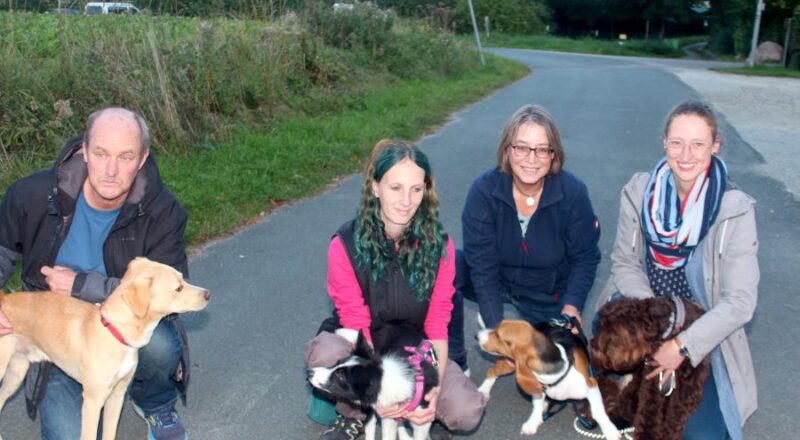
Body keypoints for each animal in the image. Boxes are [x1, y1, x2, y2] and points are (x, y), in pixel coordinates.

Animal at [0, 258, 209, 440]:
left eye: (183, 278)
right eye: (178, 288)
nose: (208, 294)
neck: (115, 332)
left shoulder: (117, 395)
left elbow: (110, 432)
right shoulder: (93, 401)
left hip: (16, 373)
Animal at [476, 318, 620, 438]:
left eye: (498, 335)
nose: (476, 336)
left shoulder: (591, 385)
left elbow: (598, 412)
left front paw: (610, 431)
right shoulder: (537, 388)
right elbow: (537, 405)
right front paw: (533, 422)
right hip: (508, 364)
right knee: (491, 372)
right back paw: (483, 391)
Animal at [592, 296, 708, 440]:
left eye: (608, 337)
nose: (591, 345)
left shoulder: (687, 390)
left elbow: (674, 420)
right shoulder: (653, 380)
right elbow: (650, 410)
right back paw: (618, 418)